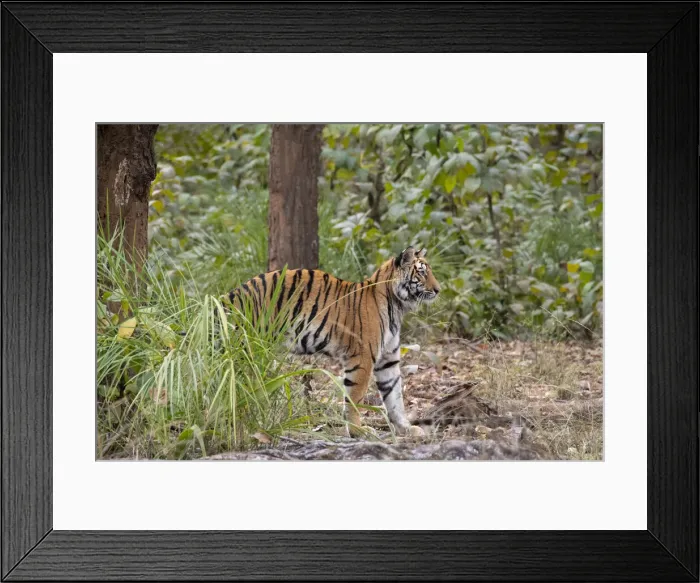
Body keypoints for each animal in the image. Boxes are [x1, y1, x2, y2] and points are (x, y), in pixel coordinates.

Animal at [222, 246, 441, 437]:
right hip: (246, 349)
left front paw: (406, 428)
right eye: (422, 273)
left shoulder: (388, 360)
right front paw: (357, 430)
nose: (438, 290)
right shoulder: (362, 357)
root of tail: (231, 295)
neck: (397, 305)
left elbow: (394, 397)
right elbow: (355, 397)